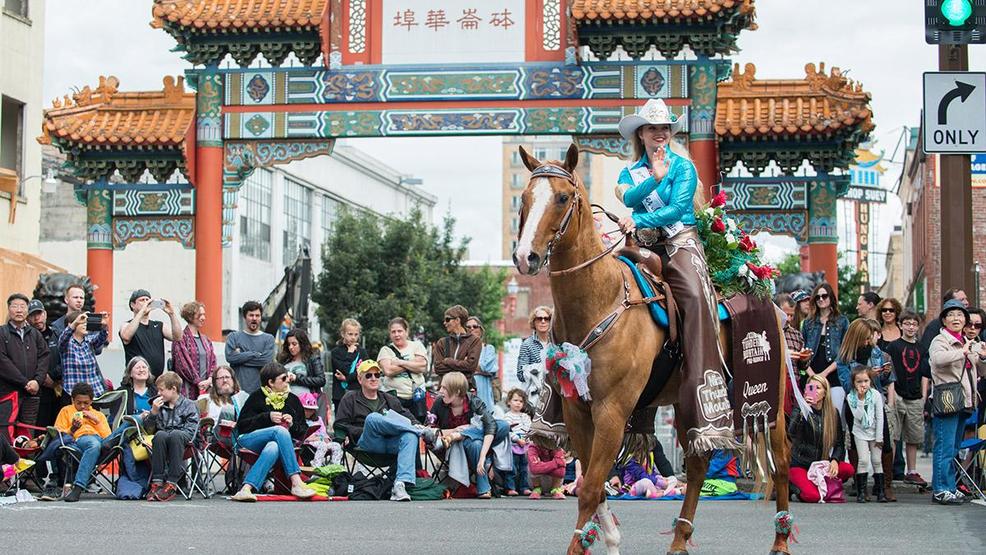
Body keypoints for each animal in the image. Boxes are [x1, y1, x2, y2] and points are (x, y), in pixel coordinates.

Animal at [512, 144, 788, 555]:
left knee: (781, 462)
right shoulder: (578, 411)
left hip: (769, 401)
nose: (524, 257)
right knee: (697, 465)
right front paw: (610, 539)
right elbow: (594, 486)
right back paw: (679, 539)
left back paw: (781, 540)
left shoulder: (612, 409)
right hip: (685, 402)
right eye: (526, 199)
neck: (601, 299)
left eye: (561, 198)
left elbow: (590, 488)